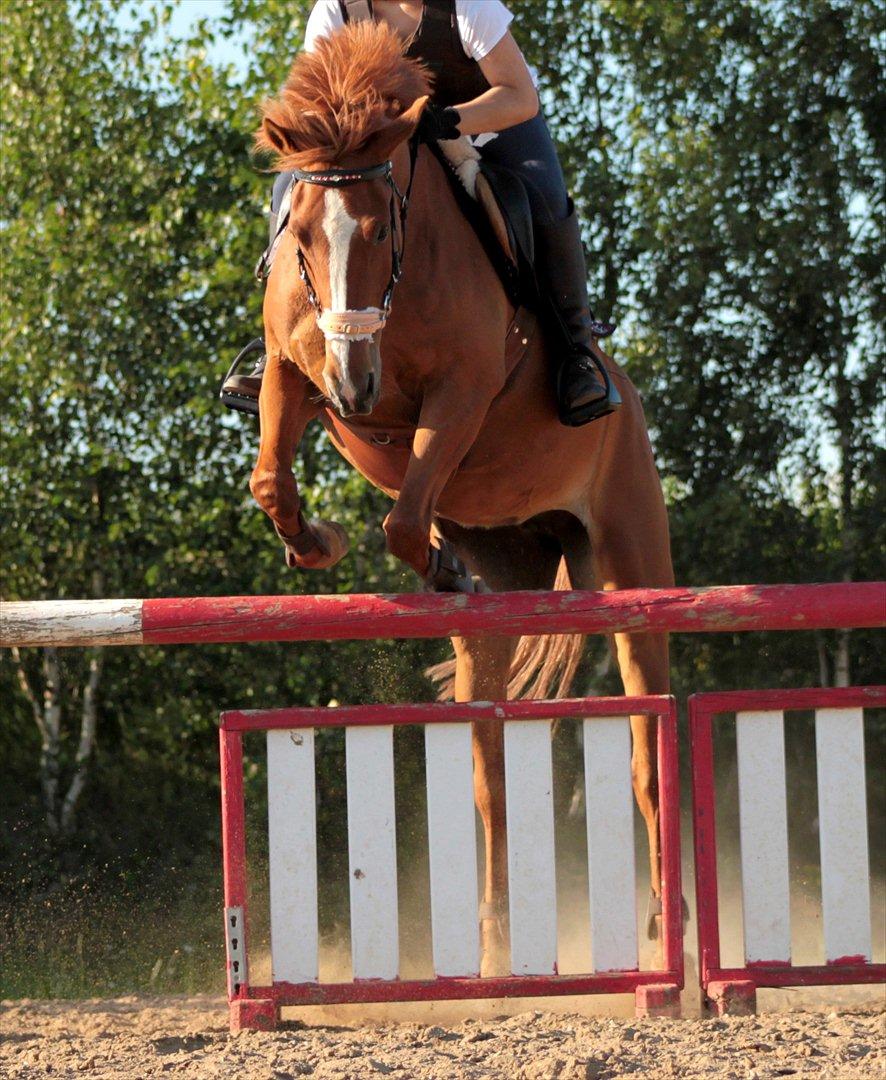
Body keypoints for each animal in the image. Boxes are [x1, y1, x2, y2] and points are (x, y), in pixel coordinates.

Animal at [247, 25, 669, 972]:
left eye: (381, 226)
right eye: (300, 232)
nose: (355, 386)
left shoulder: (462, 393)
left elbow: (406, 515)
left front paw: (430, 565)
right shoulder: (294, 370)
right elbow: (271, 476)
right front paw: (317, 542)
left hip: (631, 564)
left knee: (644, 752)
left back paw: (670, 932)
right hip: (506, 593)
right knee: (488, 773)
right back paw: (495, 950)